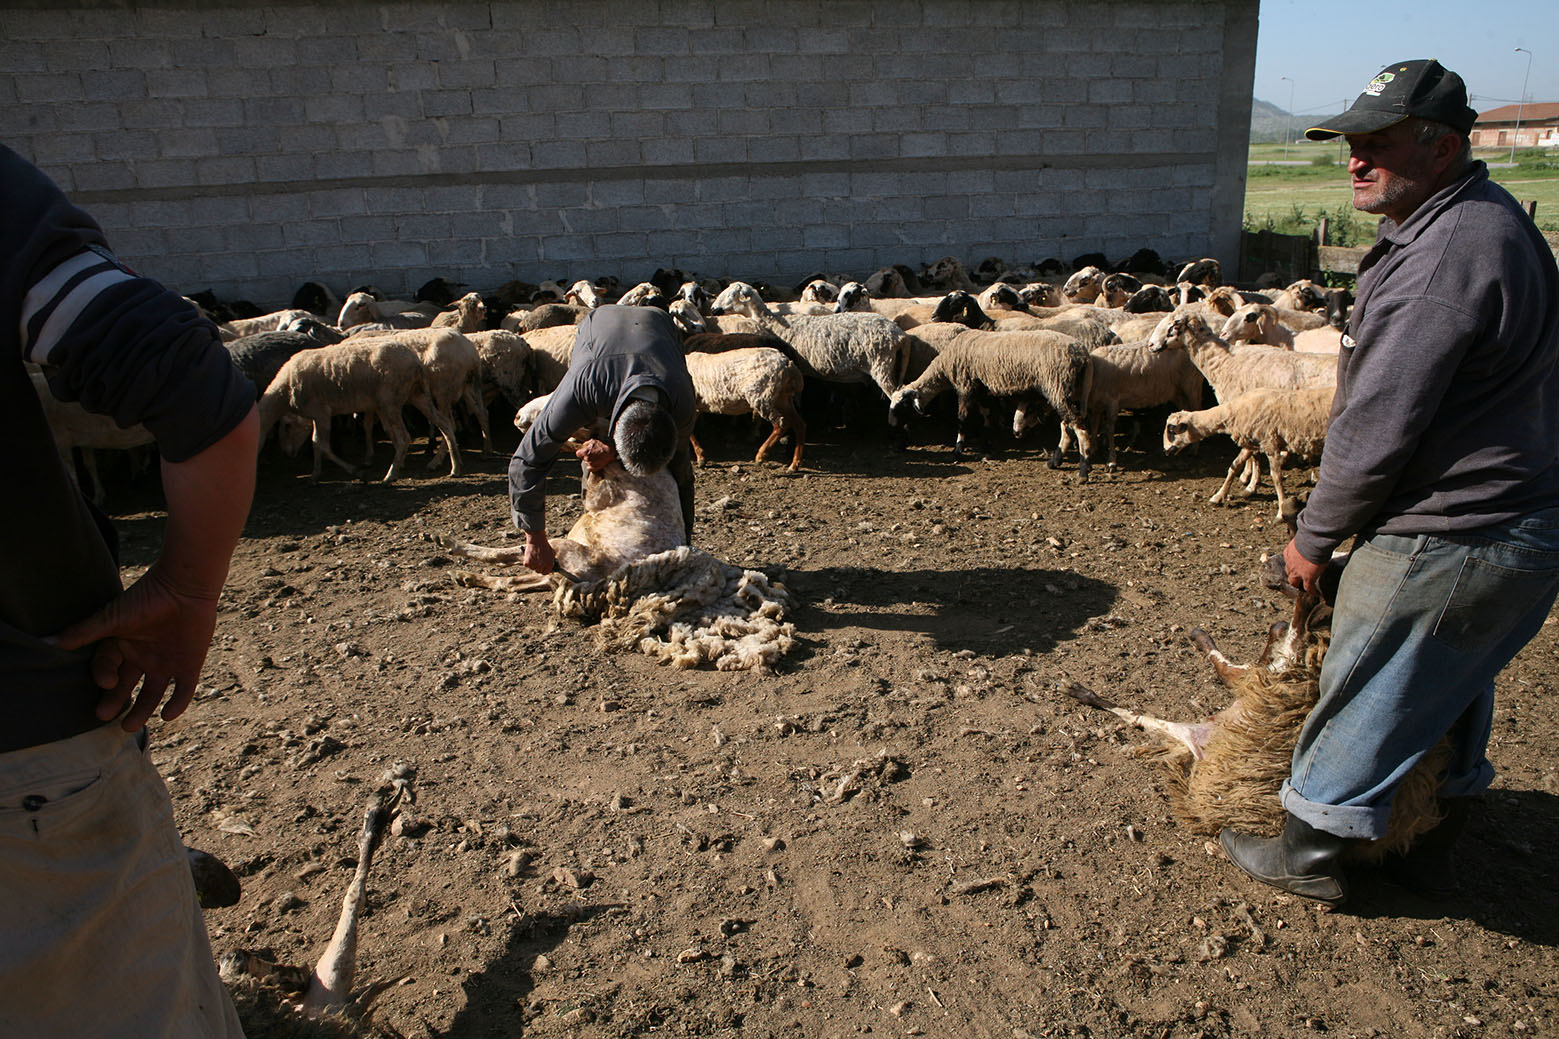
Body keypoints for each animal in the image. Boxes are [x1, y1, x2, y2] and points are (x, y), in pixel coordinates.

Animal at [257, 338, 460, 483]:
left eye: (286, 426)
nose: (287, 454)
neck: (284, 392)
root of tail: (416, 361)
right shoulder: (316, 415)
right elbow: (315, 443)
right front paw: (315, 475)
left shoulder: (321, 412)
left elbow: (322, 444)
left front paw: (354, 471)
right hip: (417, 395)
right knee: (445, 424)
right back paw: (454, 466)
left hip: (391, 401)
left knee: (404, 438)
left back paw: (390, 475)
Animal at [886, 327, 1095, 480]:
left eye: (900, 407)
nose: (891, 427)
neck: (943, 368)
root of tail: (1082, 356)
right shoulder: (981, 391)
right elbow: (986, 416)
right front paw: (987, 446)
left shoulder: (965, 386)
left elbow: (962, 419)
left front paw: (958, 450)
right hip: (1071, 390)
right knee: (1068, 426)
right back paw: (1055, 461)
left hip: (1057, 385)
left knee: (1078, 427)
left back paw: (1084, 469)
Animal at [1162, 384, 1334, 522]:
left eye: (1171, 431)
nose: (1165, 451)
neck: (1234, 412)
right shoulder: (1252, 443)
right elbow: (1234, 466)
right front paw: (1218, 496)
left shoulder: (1270, 443)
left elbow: (1276, 478)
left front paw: (1280, 512)